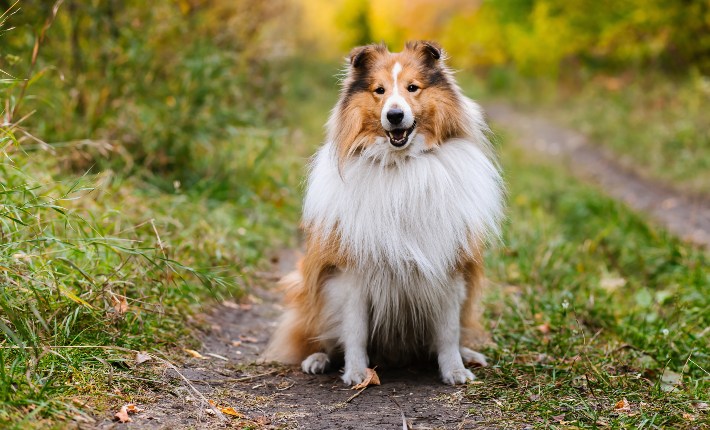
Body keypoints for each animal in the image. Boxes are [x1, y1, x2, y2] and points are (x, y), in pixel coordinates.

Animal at [262, 41, 506, 386]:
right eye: (379, 90)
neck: (401, 165)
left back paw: (469, 354)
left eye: (412, 88)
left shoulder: (450, 267)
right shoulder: (351, 272)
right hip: (309, 287)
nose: (394, 115)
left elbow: (448, 331)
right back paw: (318, 359)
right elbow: (355, 330)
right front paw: (356, 373)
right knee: (319, 337)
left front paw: (455, 370)